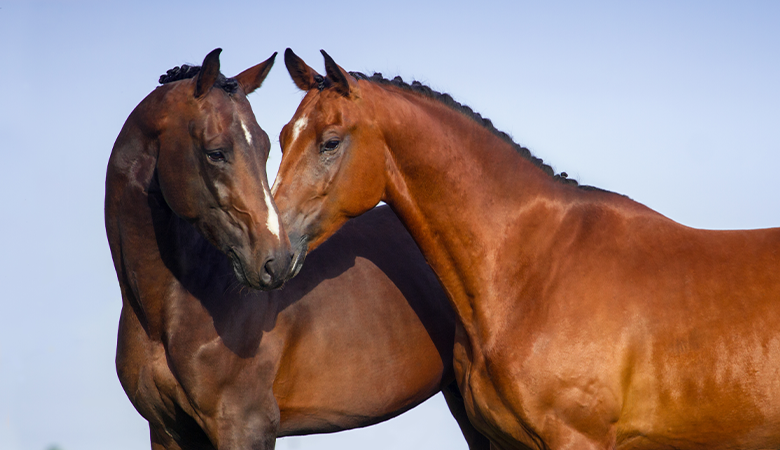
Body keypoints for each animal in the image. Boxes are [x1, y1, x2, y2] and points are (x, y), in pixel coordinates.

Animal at [105, 48, 489, 450]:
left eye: (264, 146)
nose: (276, 260)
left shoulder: (245, 426)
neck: (168, 310)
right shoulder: (167, 432)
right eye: (215, 152)